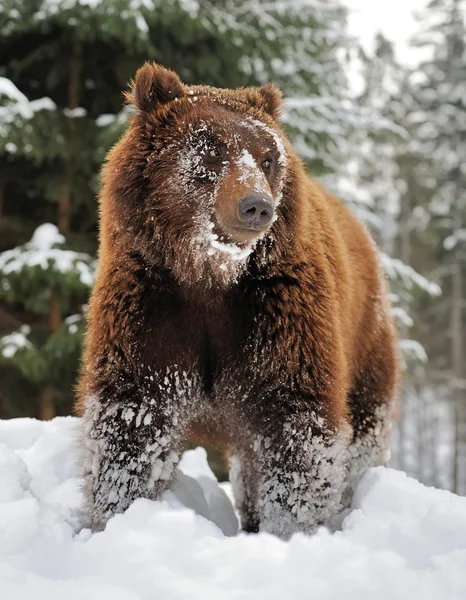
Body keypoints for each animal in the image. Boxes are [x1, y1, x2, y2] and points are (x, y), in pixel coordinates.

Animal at [76, 63, 400, 536]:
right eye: (210, 151)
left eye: (267, 158)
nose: (256, 206)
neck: (208, 276)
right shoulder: (152, 309)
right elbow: (132, 421)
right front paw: (114, 516)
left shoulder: (277, 315)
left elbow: (297, 430)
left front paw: (290, 529)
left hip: (364, 338)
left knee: (361, 431)